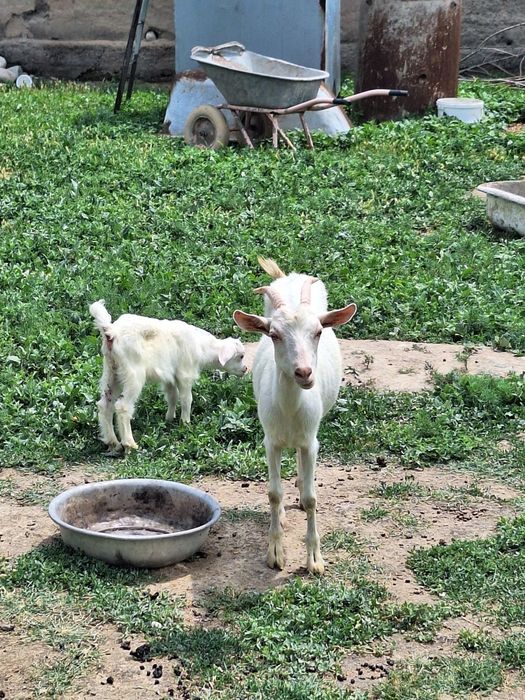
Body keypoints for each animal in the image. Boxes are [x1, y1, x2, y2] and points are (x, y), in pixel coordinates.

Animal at [89, 300, 247, 454]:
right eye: (240, 356)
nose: (245, 369)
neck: (202, 347)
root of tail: (111, 332)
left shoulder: (169, 376)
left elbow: (172, 396)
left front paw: (169, 418)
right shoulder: (185, 373)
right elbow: (186, 399)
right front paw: (186, 423)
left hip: (111, 371)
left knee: (105, 404)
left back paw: (112, 442)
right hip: (133, 373)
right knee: (122, 406)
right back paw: (129, 444)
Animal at [233, 258, 357, 574]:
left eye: (318, 332)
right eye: (274, 335)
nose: (304, 373)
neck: (290, 411)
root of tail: (289, 276)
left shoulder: (311, 441)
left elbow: (313, 497)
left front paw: (315, 560)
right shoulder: (270, 441)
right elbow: (273, 493)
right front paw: (276, 553)